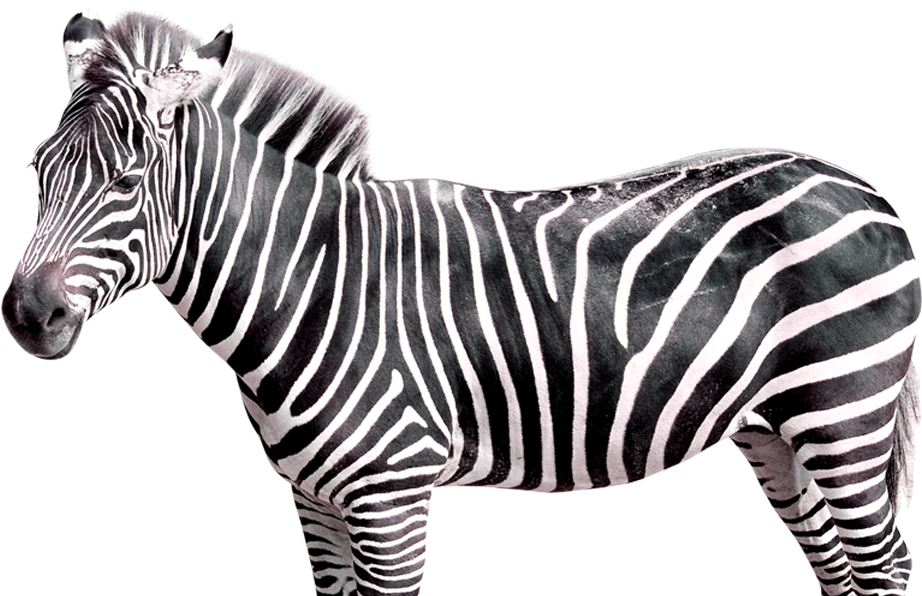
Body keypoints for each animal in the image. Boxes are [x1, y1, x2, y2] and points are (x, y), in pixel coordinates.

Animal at [3, 7, 919, 595]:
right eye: (36, 174)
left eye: (126, 181)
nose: (27, 317)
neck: (311, 279)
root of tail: (856, 181)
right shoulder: (314, 508)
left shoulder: (391, 496)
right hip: (778, 433)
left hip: (844, 417)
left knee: (883, 564)